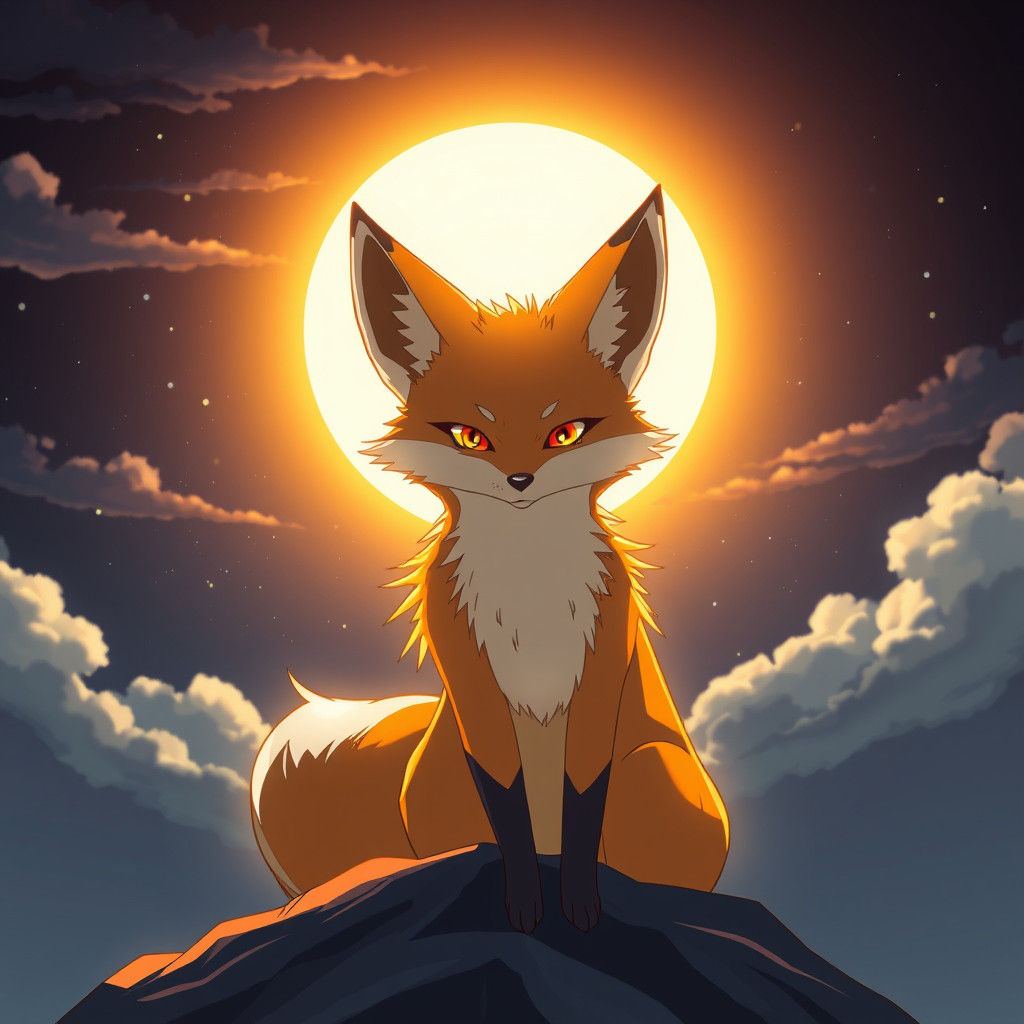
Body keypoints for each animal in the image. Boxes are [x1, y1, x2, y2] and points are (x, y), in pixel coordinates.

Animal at [250, 185, 729, 933]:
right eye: (469, 437)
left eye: (566, 433)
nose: (520, 481)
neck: (528, 583)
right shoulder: (467, 668)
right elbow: (504, 801)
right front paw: (526, 905)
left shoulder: (604, 655)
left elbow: (584, 795)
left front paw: (580, 904)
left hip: (657, 776)